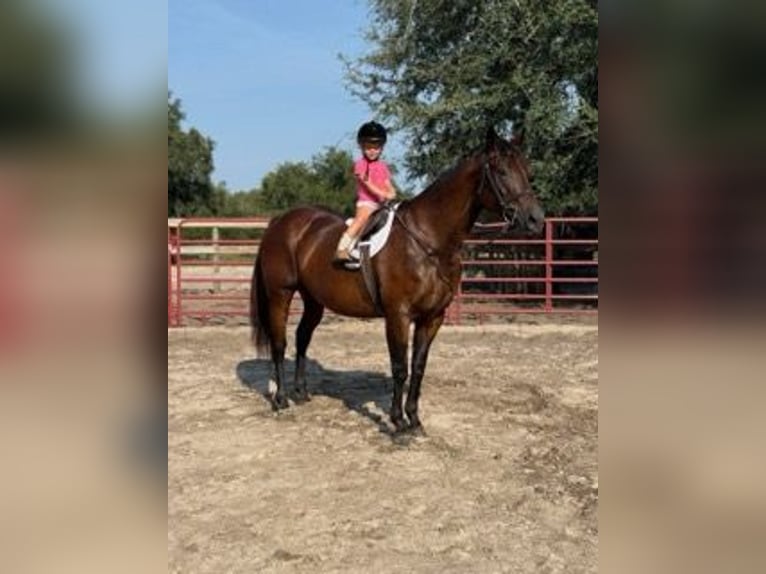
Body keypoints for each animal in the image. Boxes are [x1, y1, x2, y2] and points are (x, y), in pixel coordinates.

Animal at [250, 127, 544, 434]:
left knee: (302, 337)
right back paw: (281, 399)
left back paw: (301, 392)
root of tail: (280, 221)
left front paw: (414, 419)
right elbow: (400, 367)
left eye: (527, 171)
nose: (536, 220)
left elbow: (418, 367)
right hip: (280, 294)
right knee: (280, 343)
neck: (427, 240)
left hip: (313, 300)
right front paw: (398, 422)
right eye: (501, 171)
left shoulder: (432, 317)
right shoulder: (398, 315)